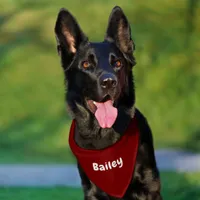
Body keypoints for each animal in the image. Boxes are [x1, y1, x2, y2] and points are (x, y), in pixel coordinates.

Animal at [54, 5, 162, 199]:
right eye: (86, 65)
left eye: (118, 63)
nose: (109, 82)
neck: (103, 135)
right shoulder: (91, 191)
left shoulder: (149, 187)